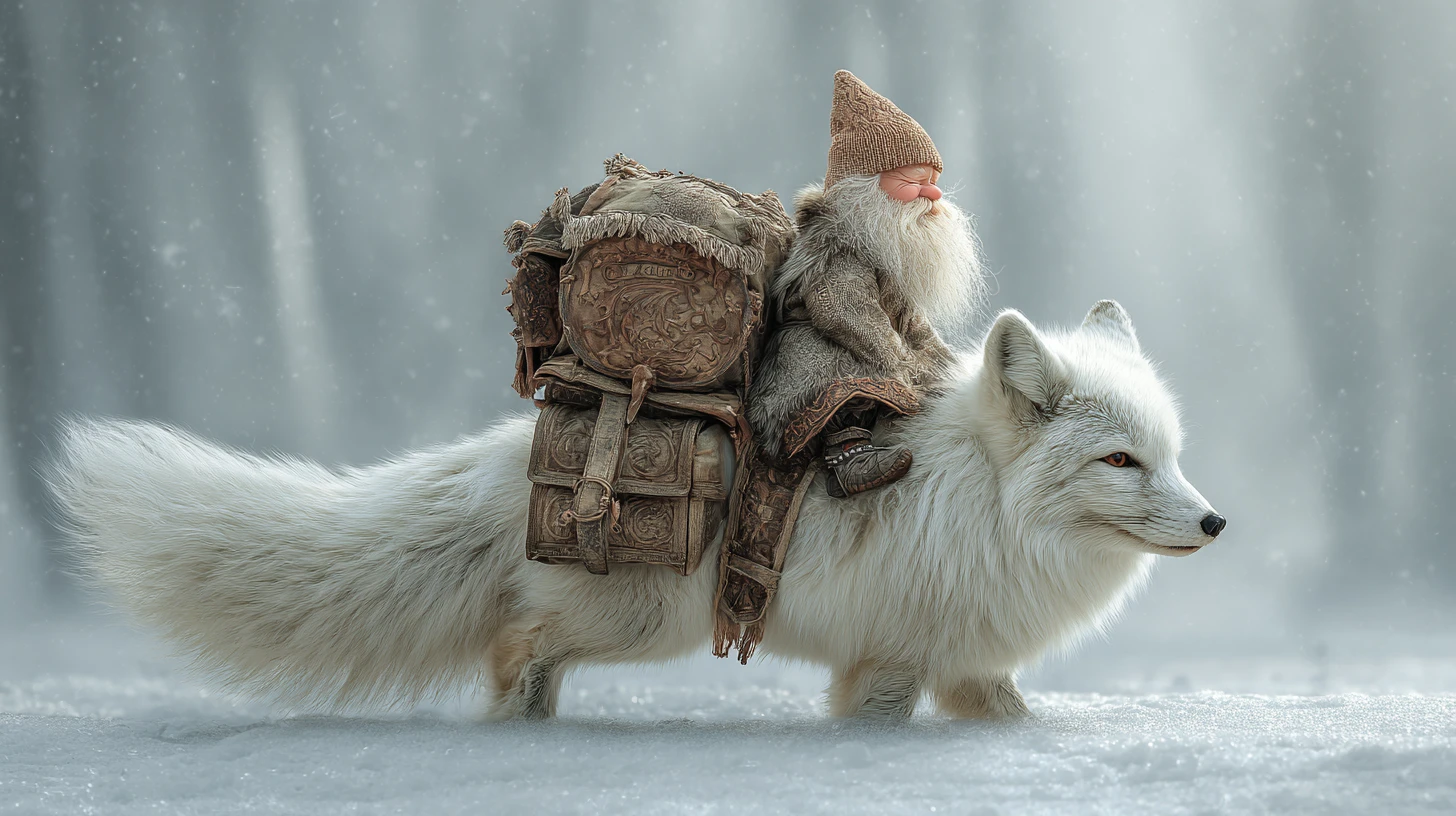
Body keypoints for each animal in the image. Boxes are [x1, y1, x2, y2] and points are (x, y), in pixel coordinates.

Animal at [48, 300, 1224, 721]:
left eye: (1172, 458)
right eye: (1121, 460)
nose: (1215, 526)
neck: (984, 506)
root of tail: (506, 458)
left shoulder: (966, 664)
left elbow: (1007, 717)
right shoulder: (890, 659)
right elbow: (877, 723)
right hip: (644, 623)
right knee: (516, 644)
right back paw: (515, 729)